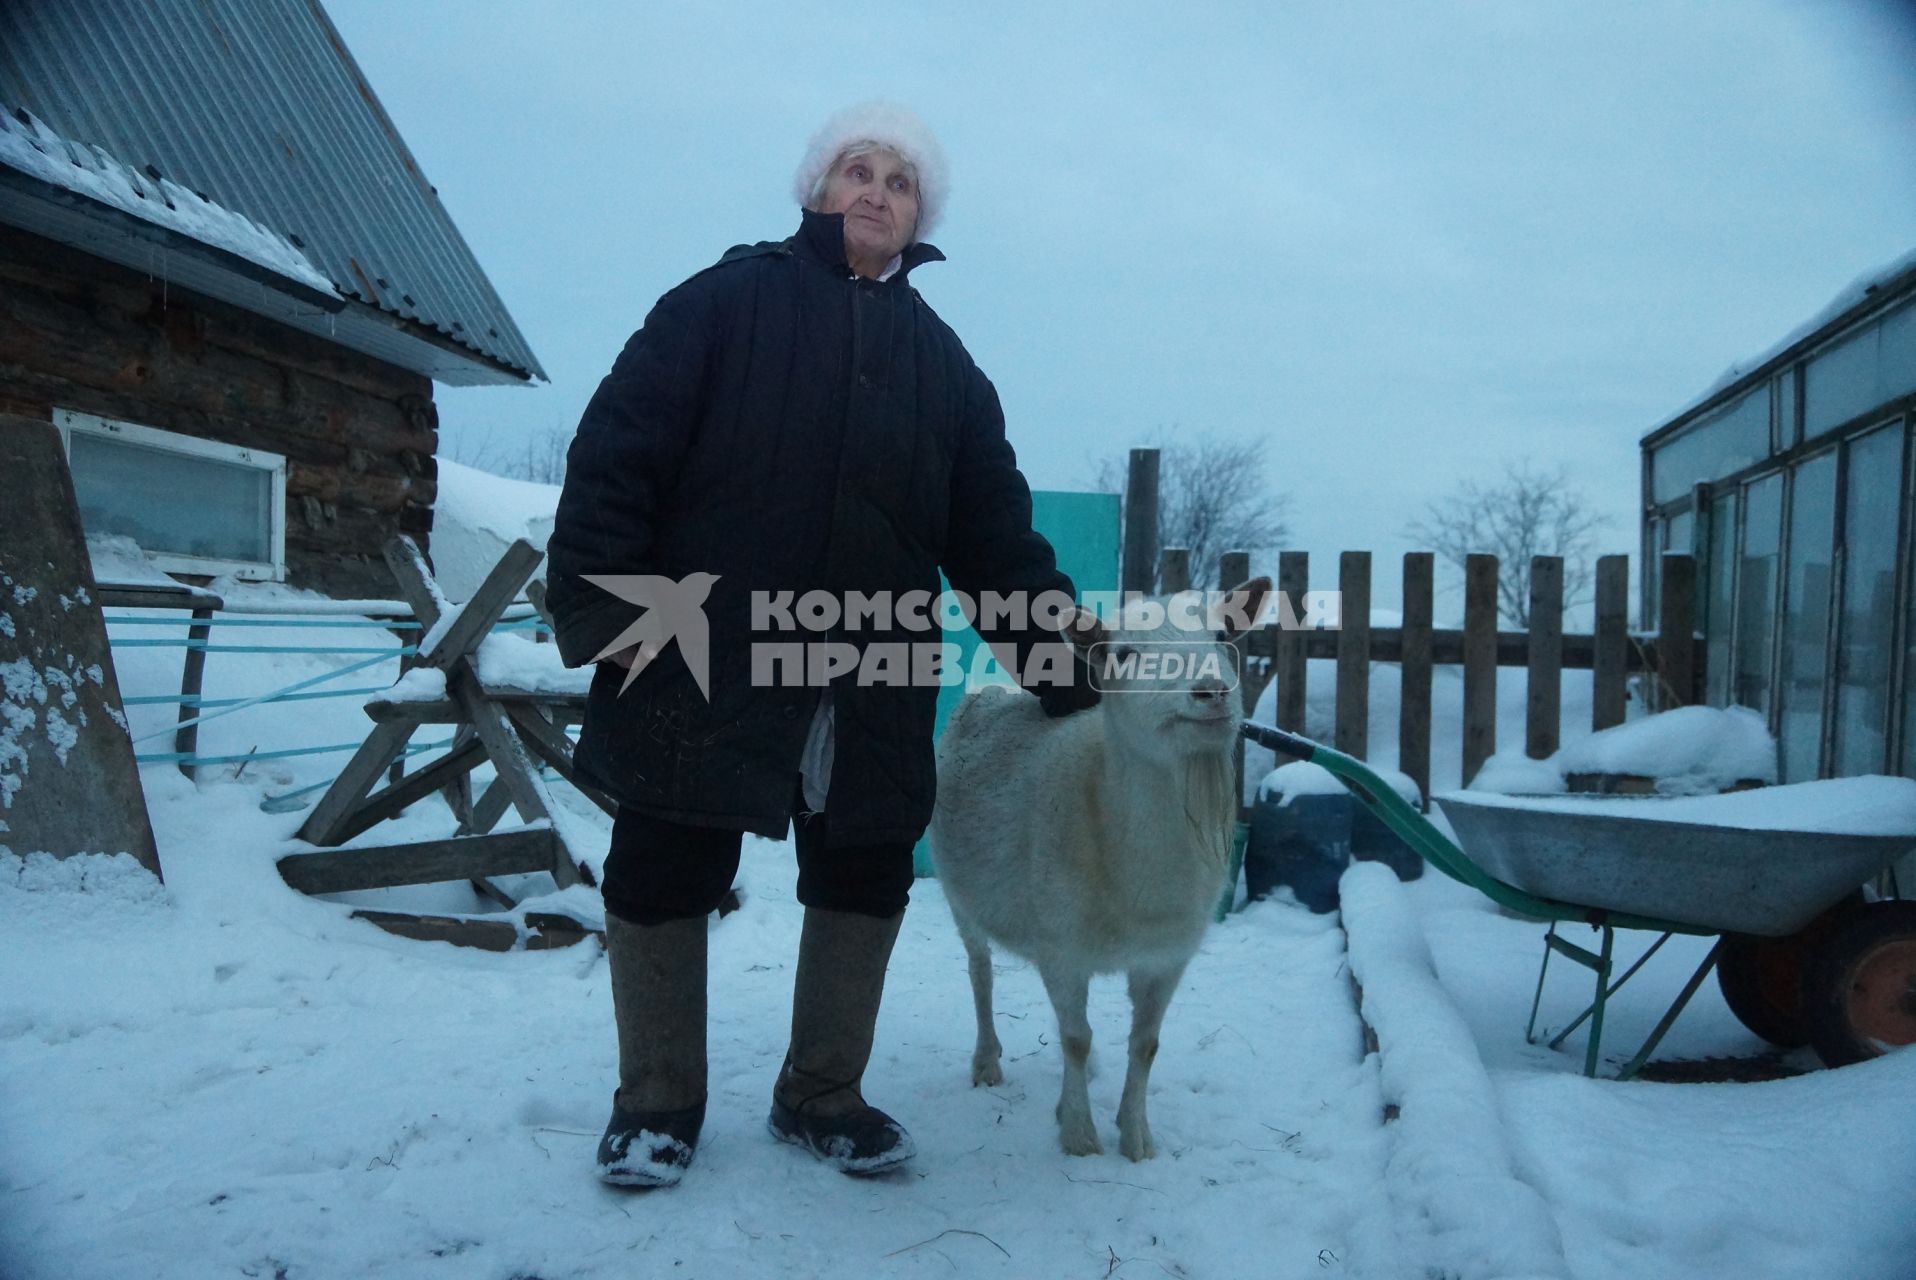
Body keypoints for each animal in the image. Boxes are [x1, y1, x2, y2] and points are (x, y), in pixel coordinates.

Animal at [931, 578, 1272, 1157]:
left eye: (1224, 637)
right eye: (1124, 653)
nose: (1210, 692)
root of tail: (991, 687)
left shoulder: (1167, 955)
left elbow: (1145, 1043)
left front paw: (1135, 1137)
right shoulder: (1062, 947)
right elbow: (1075, 1038)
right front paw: (1079, 1136)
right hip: (960, 897)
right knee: (981, 974)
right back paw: (987, 1062)